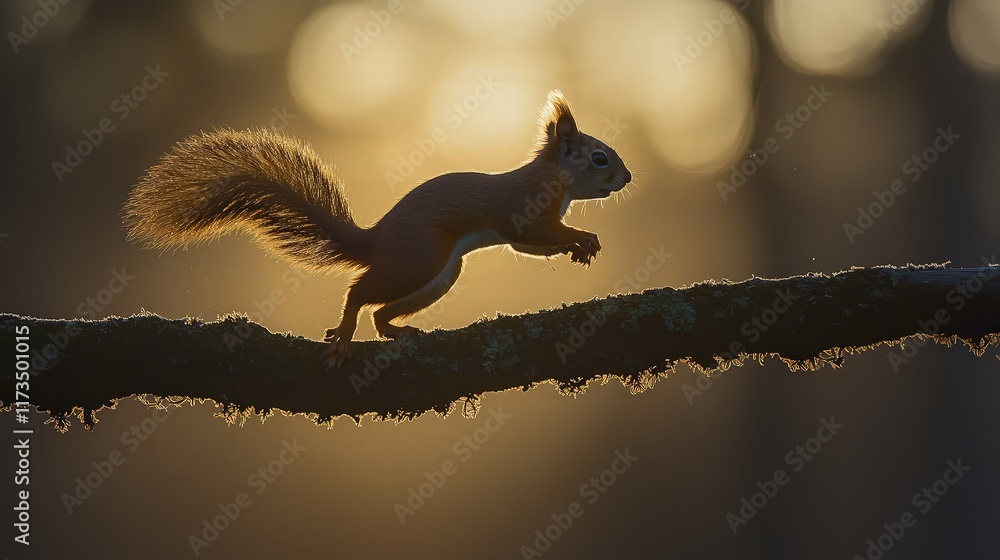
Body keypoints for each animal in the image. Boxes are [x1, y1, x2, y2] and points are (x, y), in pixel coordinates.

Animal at [123, 90, 632, 368]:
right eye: (599, 158)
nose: (626, 178)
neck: (555, 180)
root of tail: (375, 240)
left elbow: (535, 247)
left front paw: (581, 247)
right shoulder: (521, 209)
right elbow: (534, 234)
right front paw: (582, 239)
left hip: (439, 274)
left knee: (378, 312)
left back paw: (396, 331)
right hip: (421, 256)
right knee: (358, 292)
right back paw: (345, 334)